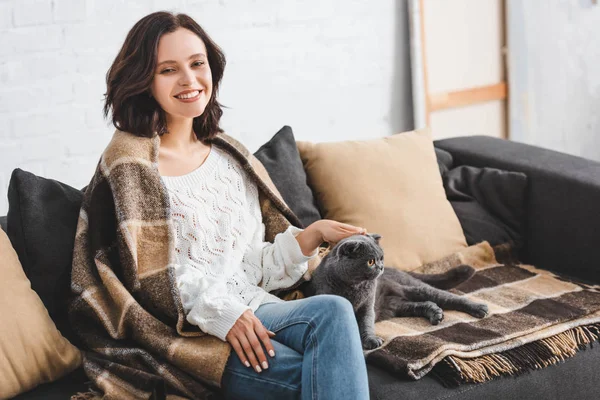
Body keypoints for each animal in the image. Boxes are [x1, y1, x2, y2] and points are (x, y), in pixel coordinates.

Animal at [304, 233, 488, 348]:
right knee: (423, 304)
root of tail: (399, 270)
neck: (355, 287)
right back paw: (435, 313)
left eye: (381, 258)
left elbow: (366, 323)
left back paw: (479, 308)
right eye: (370, 261)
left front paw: (371, 340)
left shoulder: (367, 306)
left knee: (448, 296)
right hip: (397, 304)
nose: (381, 266)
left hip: (412, 288)